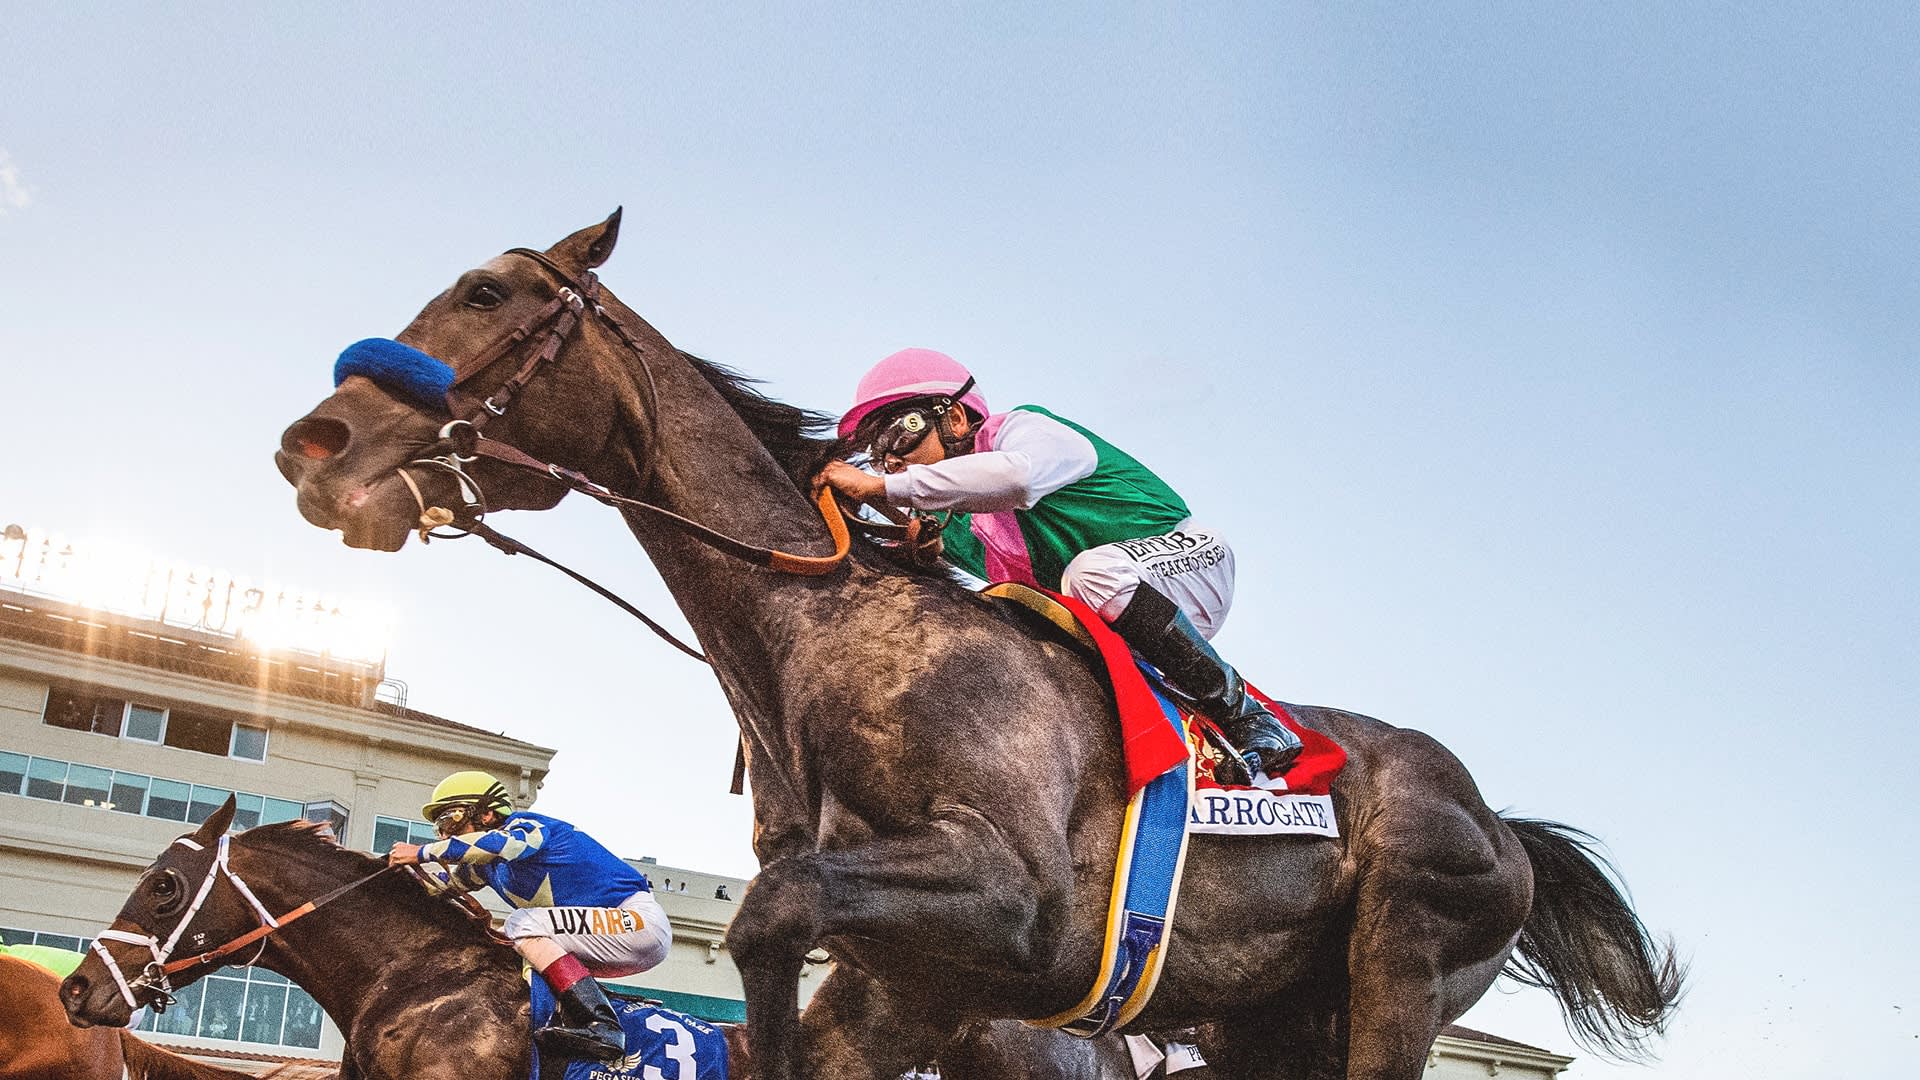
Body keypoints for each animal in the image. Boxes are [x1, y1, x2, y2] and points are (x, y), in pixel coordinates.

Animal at [266, 212, 1681, 1076]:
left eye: (487, 290)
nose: (311, 446)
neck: (829, 631)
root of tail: (1504, 824)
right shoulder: (908, 987)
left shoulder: (1018, 902)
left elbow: (773, 916)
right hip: (1267, 1020)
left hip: (1405, 960)